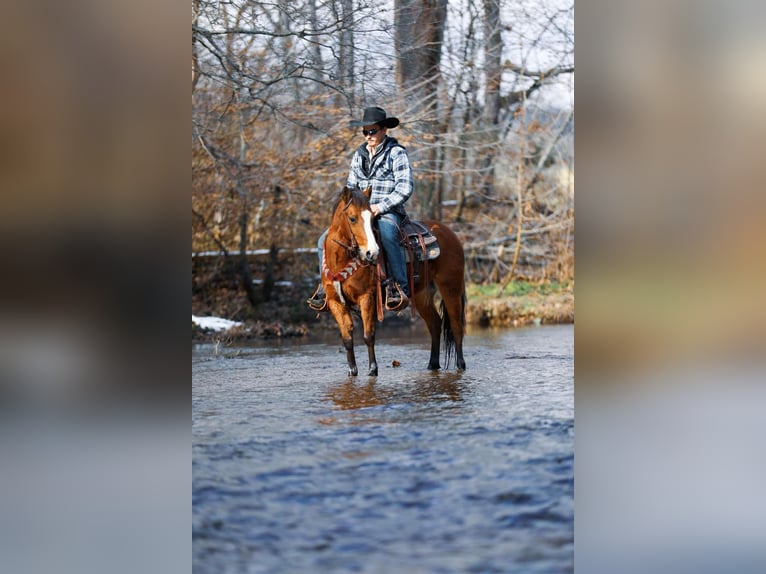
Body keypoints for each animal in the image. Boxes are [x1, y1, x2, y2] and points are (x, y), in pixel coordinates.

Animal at [321, 186, 467, 376]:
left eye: (371, 218)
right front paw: (352, 371)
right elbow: (347, 338)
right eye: (352, 218)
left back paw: (460, 365)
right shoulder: (335, 302)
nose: (372, 253)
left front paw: (373, 370)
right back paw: (432, 364)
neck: (341, 261)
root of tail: (450, 234)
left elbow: (368, 335)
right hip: (422, 294)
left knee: (456, 326)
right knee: (435, 324)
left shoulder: (367, 297)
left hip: (451, 287)